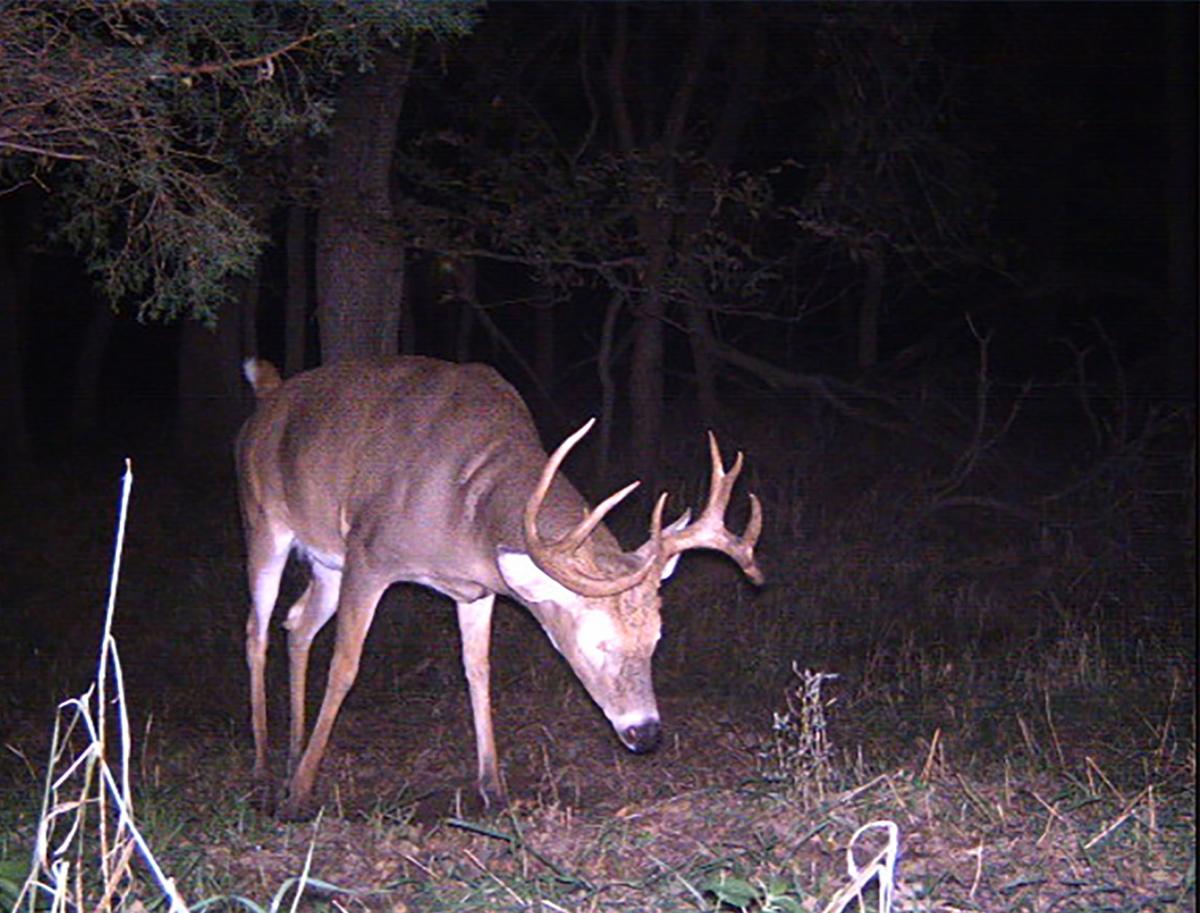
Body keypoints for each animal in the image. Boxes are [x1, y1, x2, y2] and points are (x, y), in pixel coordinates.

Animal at [235, 355, 763, 819]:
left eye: (656, 639)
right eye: (596, 643)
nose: (645, 733)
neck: (463, 514)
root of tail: (268, 396)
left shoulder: (475, 590)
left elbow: (478, 670)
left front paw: (493, 788)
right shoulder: (369, 555)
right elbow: (345, 669)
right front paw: (301, 797)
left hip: (327, 561)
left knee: (297, 622)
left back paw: (291, 757)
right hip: (263, 521)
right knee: (257, 630)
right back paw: (265, 776)